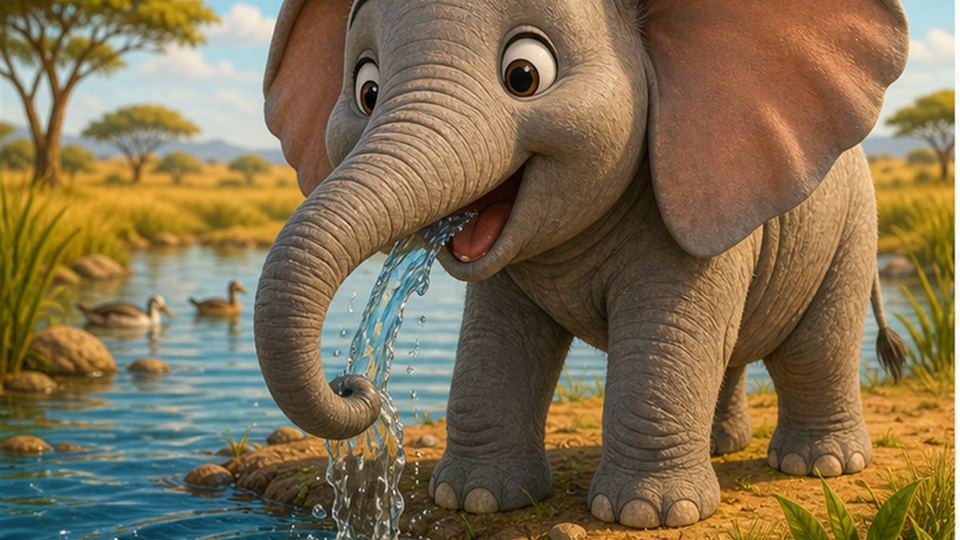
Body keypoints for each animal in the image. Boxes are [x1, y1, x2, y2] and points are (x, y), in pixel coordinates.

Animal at [253, 0, 911, 529]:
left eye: (524, 76)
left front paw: (647, 516)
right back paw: (724, 448)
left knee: (812, 349)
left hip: (854, 228)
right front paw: (474, 501)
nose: (353, 384)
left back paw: (819, 466)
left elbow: (664, 335)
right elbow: (496, 343)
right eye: (367, 91)